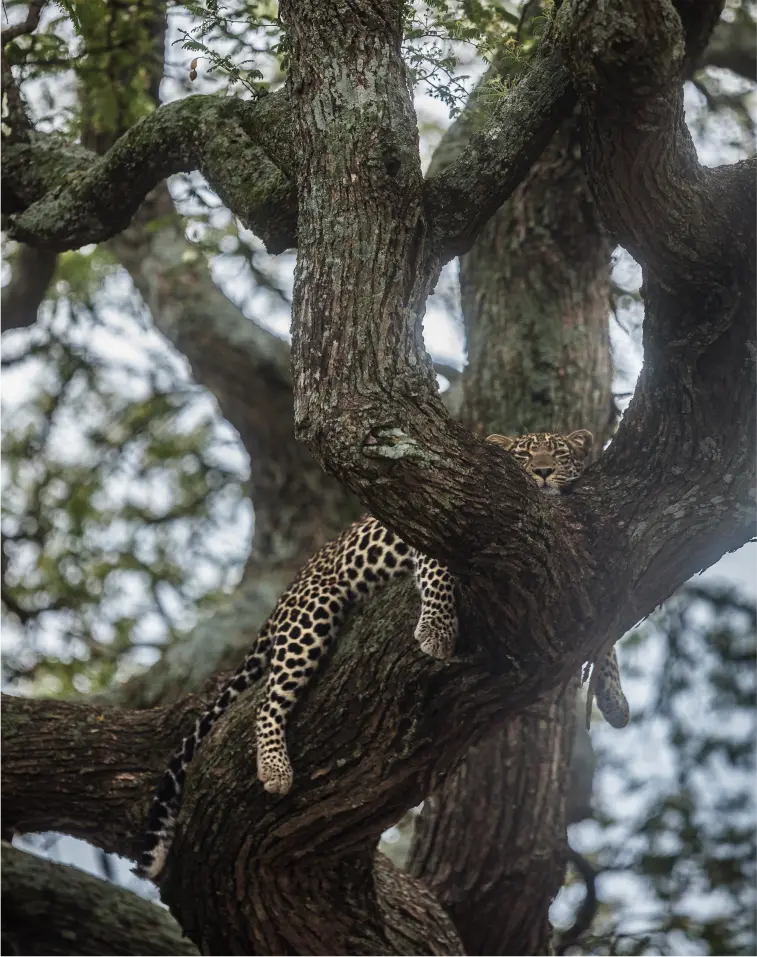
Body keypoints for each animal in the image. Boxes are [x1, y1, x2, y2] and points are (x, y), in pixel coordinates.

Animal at [135, 429, 628, 881]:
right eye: (523, 456)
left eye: (559, 455)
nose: (542, 473)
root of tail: (283, 598)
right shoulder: (430, 537)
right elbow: (438, 573)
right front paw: (434, 631)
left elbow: (605, 637)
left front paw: (614, 697)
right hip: (312, 613)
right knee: (267, 701)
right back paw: (274, 768)